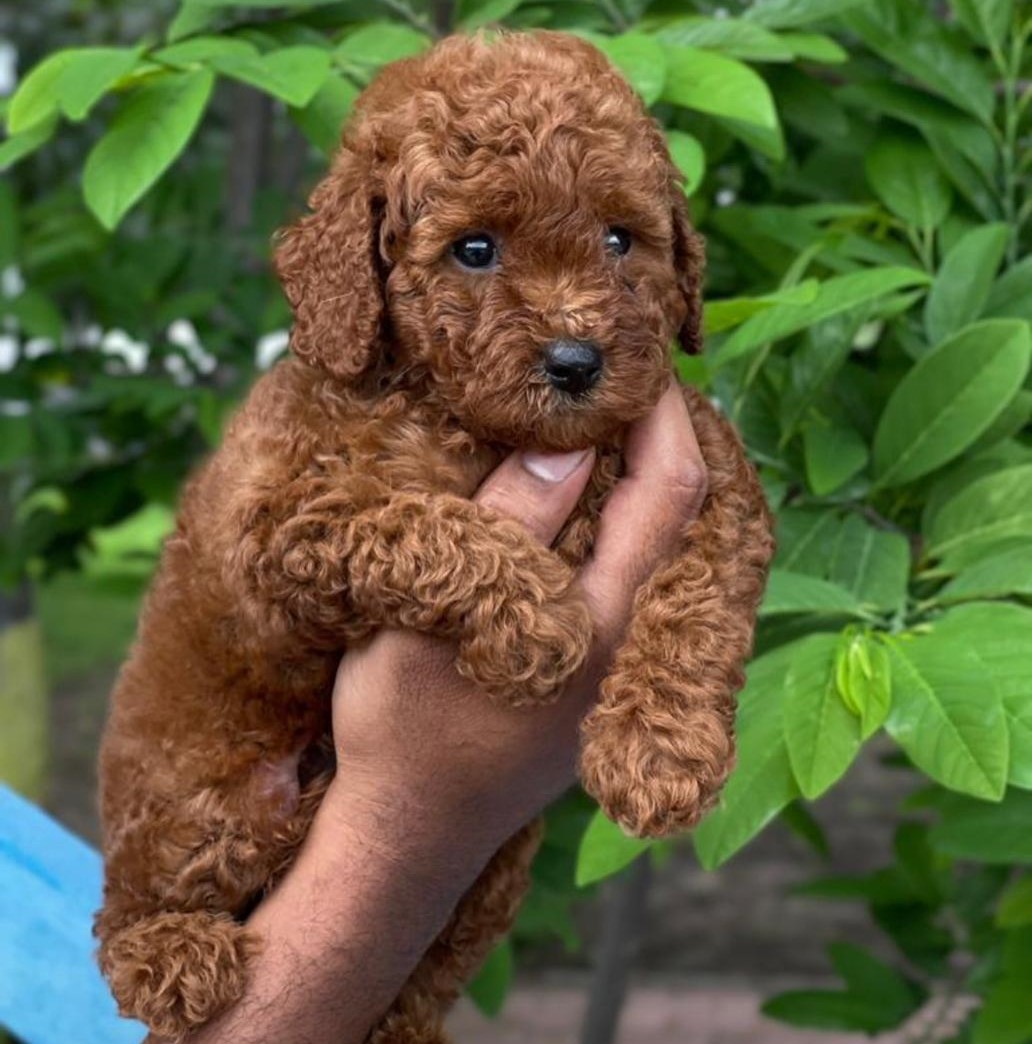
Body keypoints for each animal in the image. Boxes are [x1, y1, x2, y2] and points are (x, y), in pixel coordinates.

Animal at [94, 30, 772, 1044]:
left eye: (621, 238)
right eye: (474, 250)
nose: (577, 362)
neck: (477, 419)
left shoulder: (713, 468)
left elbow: (702, 600)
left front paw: (659, 754)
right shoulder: (285, 528)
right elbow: (419, 523)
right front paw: (538, 616)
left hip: (489, 871)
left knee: (418, 972)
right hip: (203, 807)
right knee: (124, 914)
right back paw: (174, 954)